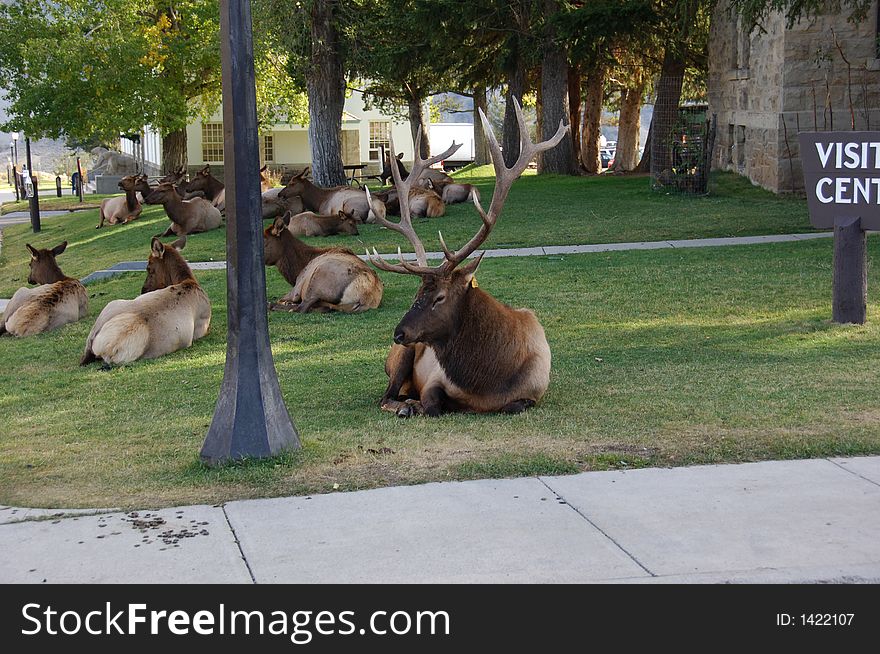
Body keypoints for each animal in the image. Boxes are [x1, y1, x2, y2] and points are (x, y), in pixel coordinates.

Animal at [82, 237, 213, 368]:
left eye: (148, 268)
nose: (143, 290)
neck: (189, 282)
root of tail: (108, 348)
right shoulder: (203, 328)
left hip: (107, 310)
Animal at [366, 98, 568, 416]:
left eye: (439, 297)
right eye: (416, 294)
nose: (398, 333)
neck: (487, 381)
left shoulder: (534, 392)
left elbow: (513, 405)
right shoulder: (434, 380)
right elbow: (432, 405)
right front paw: (419, 405)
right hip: (402, 356)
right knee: (386, 396)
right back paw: (405, 405)